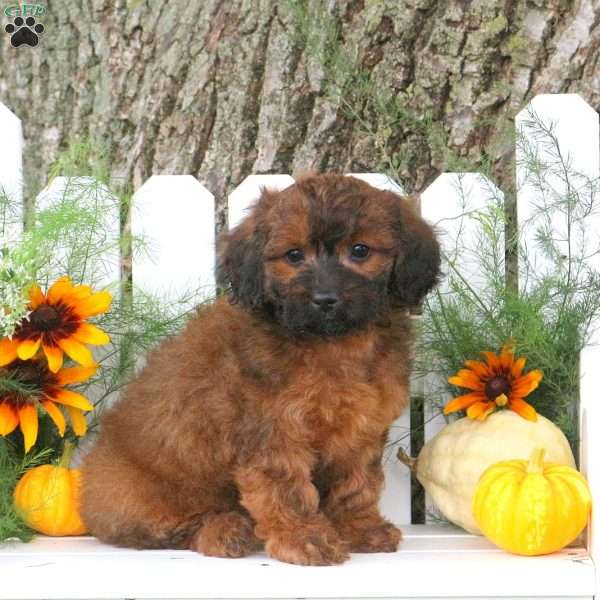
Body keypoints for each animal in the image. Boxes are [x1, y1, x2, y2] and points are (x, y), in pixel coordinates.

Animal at [81, 175, 440, 568]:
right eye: (294, 255)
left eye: (360, 251)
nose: (325, 299)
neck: (333, 343)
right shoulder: (273, 431)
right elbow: (286, 489)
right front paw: (303, 538)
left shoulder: (360, 432)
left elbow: (357, 484)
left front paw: (359, 528)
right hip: (140, 498)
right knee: (174, 528)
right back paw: (226, 530)